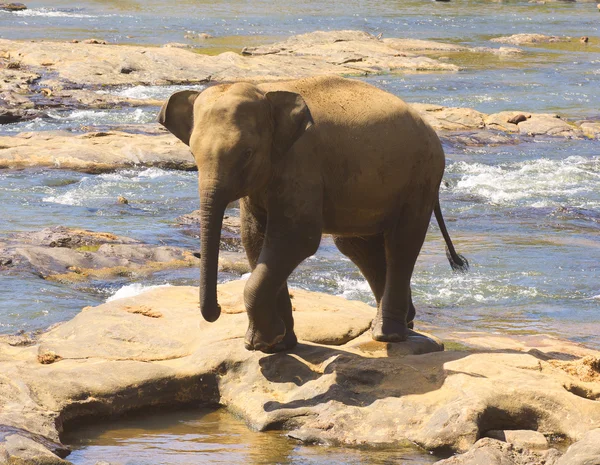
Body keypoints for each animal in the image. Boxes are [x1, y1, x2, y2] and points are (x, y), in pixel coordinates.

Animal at [159, 75, 468, 352]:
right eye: (193, 154)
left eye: (247, 153)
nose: (216, 311)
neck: (266, 91)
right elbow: (254, 239)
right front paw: (276, 344)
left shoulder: (301, 163)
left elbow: (296, 238)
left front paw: (264, 342)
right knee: (357, 246)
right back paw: (406, 323)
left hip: (421, 178)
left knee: (402, 242)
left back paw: (388, 335)